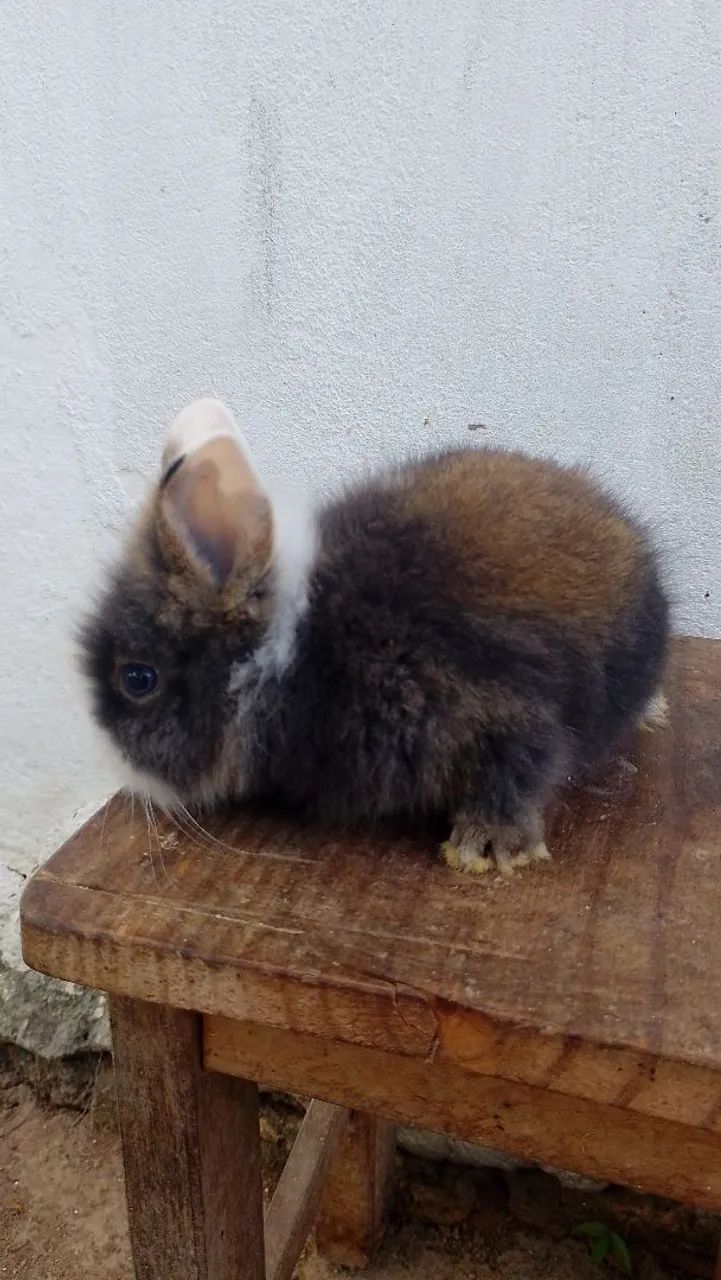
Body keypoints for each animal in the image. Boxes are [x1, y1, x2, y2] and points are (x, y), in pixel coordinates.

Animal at [81, 398, 669, 875]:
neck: (293, 657)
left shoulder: (484, 703)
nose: (112, 762)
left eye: (137, 679)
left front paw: (487, 849)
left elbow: (519, 768)